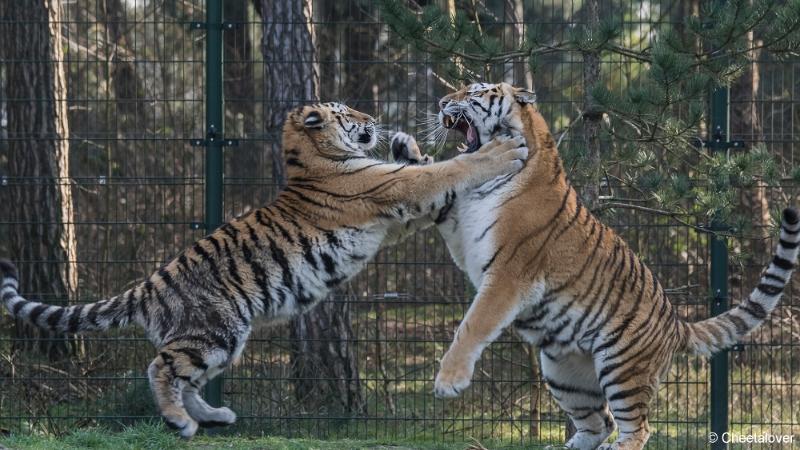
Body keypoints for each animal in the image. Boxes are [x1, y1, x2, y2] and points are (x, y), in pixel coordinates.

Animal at [3, 102, 528, 440]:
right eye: (348, 113)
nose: (374, 120)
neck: (313, 160)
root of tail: (148, 285)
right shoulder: (395, 194)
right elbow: (444, 170)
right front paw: (500, 152)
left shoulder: (400, 217)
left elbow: (427, 171)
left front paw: (405, 143)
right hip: (213, 330)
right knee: (160, 368)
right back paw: (181, 422)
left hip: (223, 341)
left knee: (185, 377)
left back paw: (214, 417)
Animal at [390, 81, 800, 450]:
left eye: (474, 92)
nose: (441, 101)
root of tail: (676, 324)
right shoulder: (464, 229)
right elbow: (440, 189)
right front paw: (405, 149)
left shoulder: (508, 273)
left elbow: (472, 325)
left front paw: (449, 381)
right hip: (563, 372)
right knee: (599, 423)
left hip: (622, 367)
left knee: (637, 429)